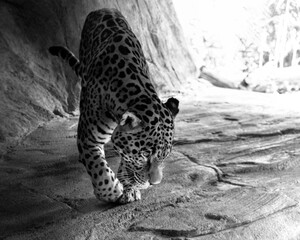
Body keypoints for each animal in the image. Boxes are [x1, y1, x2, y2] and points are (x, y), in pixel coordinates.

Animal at [48, 8, 179, 204]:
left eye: (164, 156)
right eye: (144, 156)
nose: (155, 183)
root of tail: (101, 9)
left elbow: (126, 159)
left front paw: (129, 186)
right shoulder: (88, 137)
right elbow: (98, 168)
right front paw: (113, 191)